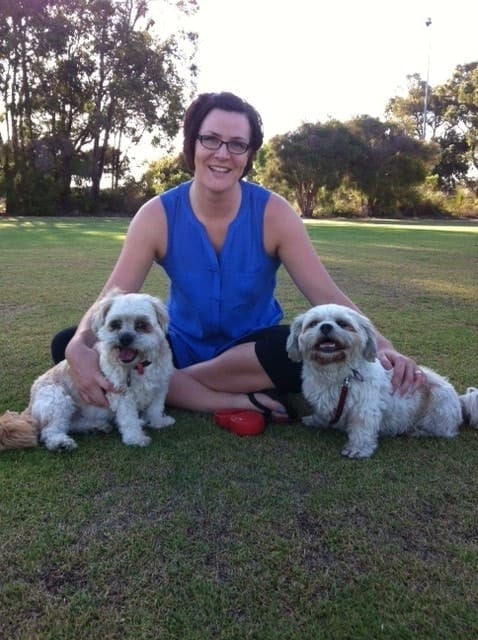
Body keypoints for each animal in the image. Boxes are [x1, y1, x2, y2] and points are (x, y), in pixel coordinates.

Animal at [0, 290, 175, 450]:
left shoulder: (160, 387)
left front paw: (158, 422)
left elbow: (155, 409)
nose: (125, 338)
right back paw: (60, 443)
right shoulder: (121, 395)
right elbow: (128, 418)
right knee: (50, 430)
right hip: (57, 399)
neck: (138, 366)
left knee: (73, 424)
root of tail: (30, 406)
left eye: (142, 325)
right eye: (115, 324)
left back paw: (96, 426)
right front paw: (135, 438)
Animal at [286, 304, 476, 458]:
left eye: (342, 323)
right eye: (313, 323)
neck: (336, 374)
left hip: (438, 405)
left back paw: (418, 430)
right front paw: (315, 420)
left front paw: (358, 450)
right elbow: (322, 414)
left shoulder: (365, 409)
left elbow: (361, 431)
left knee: (444, 431)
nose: (325, 326)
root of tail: (459, 401)